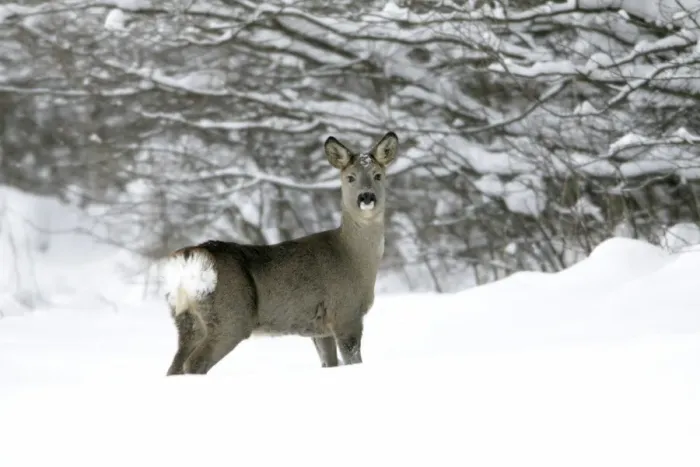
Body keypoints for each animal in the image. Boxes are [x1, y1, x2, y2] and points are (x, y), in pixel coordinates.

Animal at [161, 131, 399, 375]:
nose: (366, 197)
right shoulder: (345, 313)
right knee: (194, 363)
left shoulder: (319, 328)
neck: (353, 257)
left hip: (187, 320)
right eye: (350, 177)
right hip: (230, 319)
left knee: (174, 366)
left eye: (378, 175)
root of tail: (188, 260)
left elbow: (328, 364)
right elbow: (353, 360)